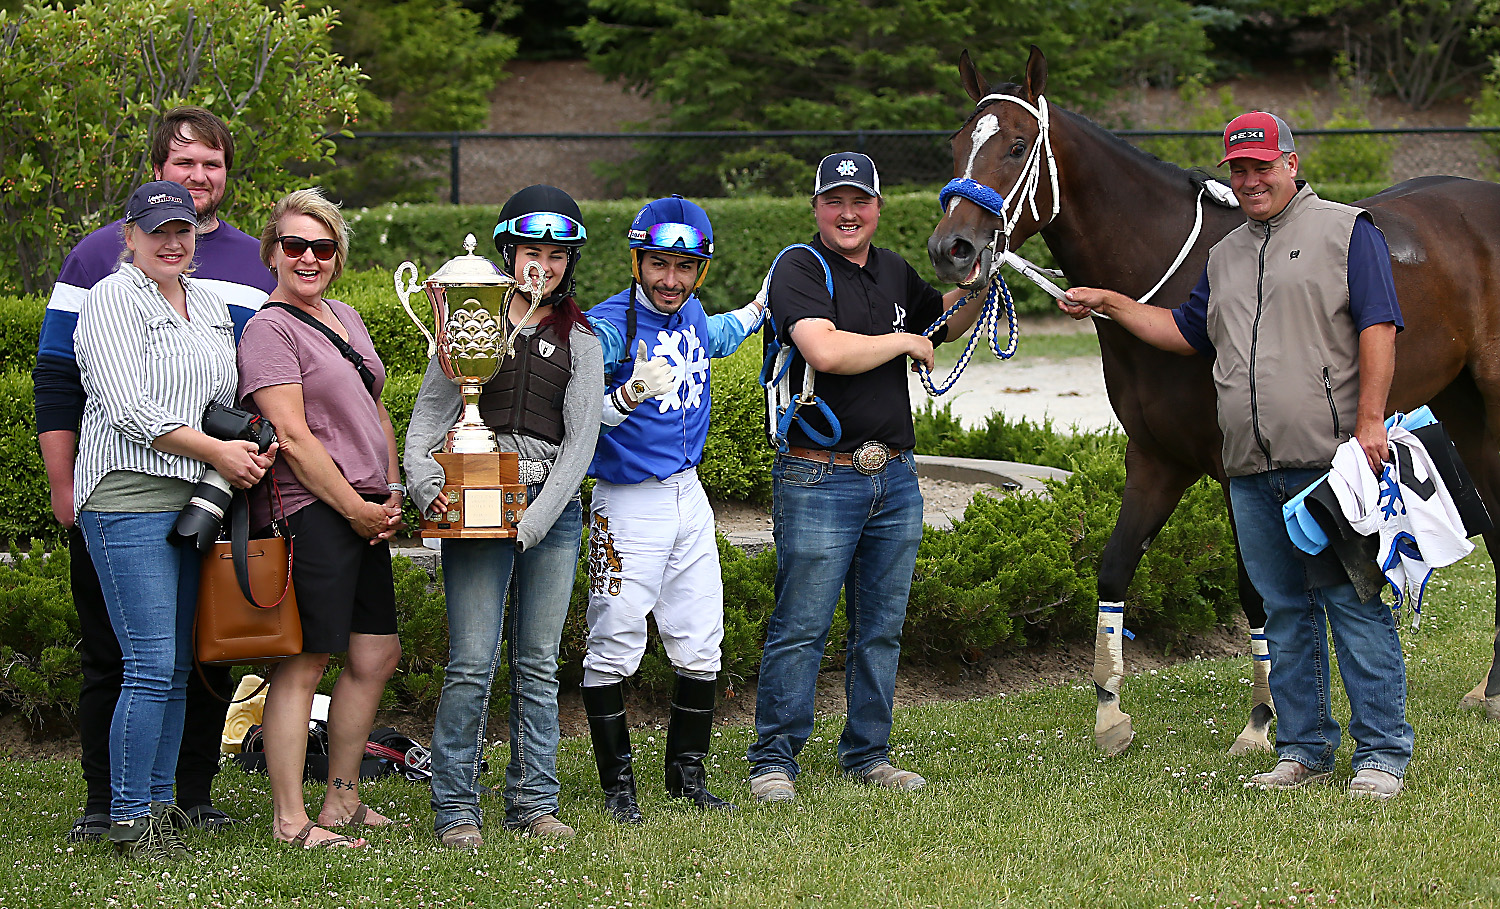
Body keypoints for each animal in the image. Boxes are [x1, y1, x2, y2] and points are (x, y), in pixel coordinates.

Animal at [930, 44, 1500, 756]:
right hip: (1463, 408)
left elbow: (1258, 592)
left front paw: (1261, 722)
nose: (950, 250)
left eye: (1014, 146)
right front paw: (1110, 715)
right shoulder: (1155, 458)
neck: (1172, 276)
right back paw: (1490, 689)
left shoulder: (1240, 471)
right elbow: (1113, 568)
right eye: (955, 144)